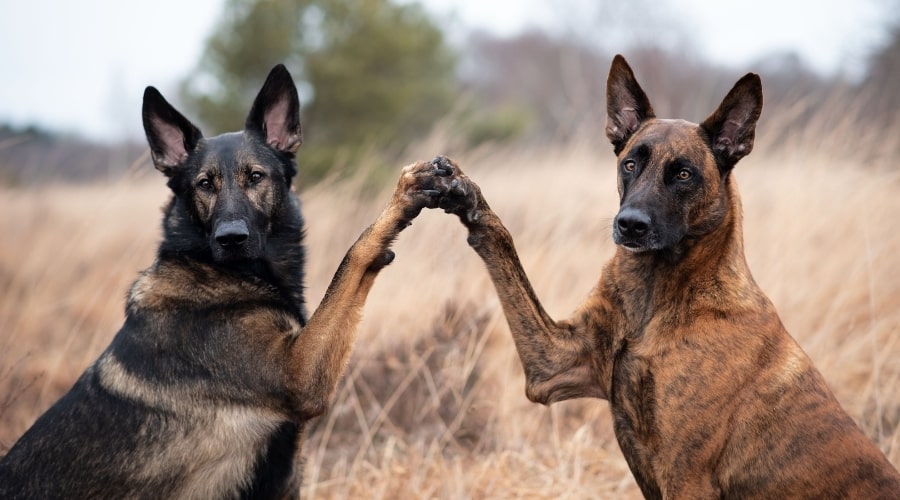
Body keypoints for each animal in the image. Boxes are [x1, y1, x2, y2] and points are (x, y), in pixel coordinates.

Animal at [0, 64, 450, 498]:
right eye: (204, 184)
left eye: (255, 177)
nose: (231, 238)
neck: (221, 275)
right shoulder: (300, 375)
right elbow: (352, 257)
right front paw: (399, 204)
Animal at [424, 52, 900, 498]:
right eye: (630, 164)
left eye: (683, 174)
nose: (630, 225)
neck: (654, 295)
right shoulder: (554, 364)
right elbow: (502, 247)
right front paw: (462, 194)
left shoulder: (686, 475)